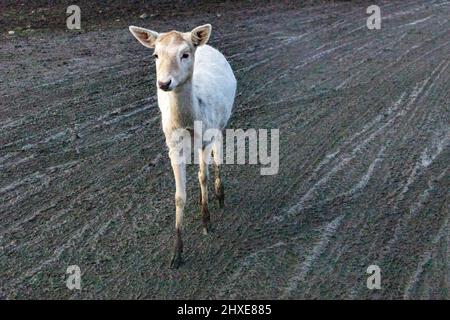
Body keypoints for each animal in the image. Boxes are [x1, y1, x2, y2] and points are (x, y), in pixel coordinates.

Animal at [128, 23, 237, 268]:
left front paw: (207, 222)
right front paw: (176, 254)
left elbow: (203, 176)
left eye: (185, 54)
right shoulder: (172, 146)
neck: (188, 120)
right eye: (155, 54)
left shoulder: (207, 135)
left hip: (221, 122)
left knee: (218, 153)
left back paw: (220, 195)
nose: (164, 83)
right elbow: (179, 195)